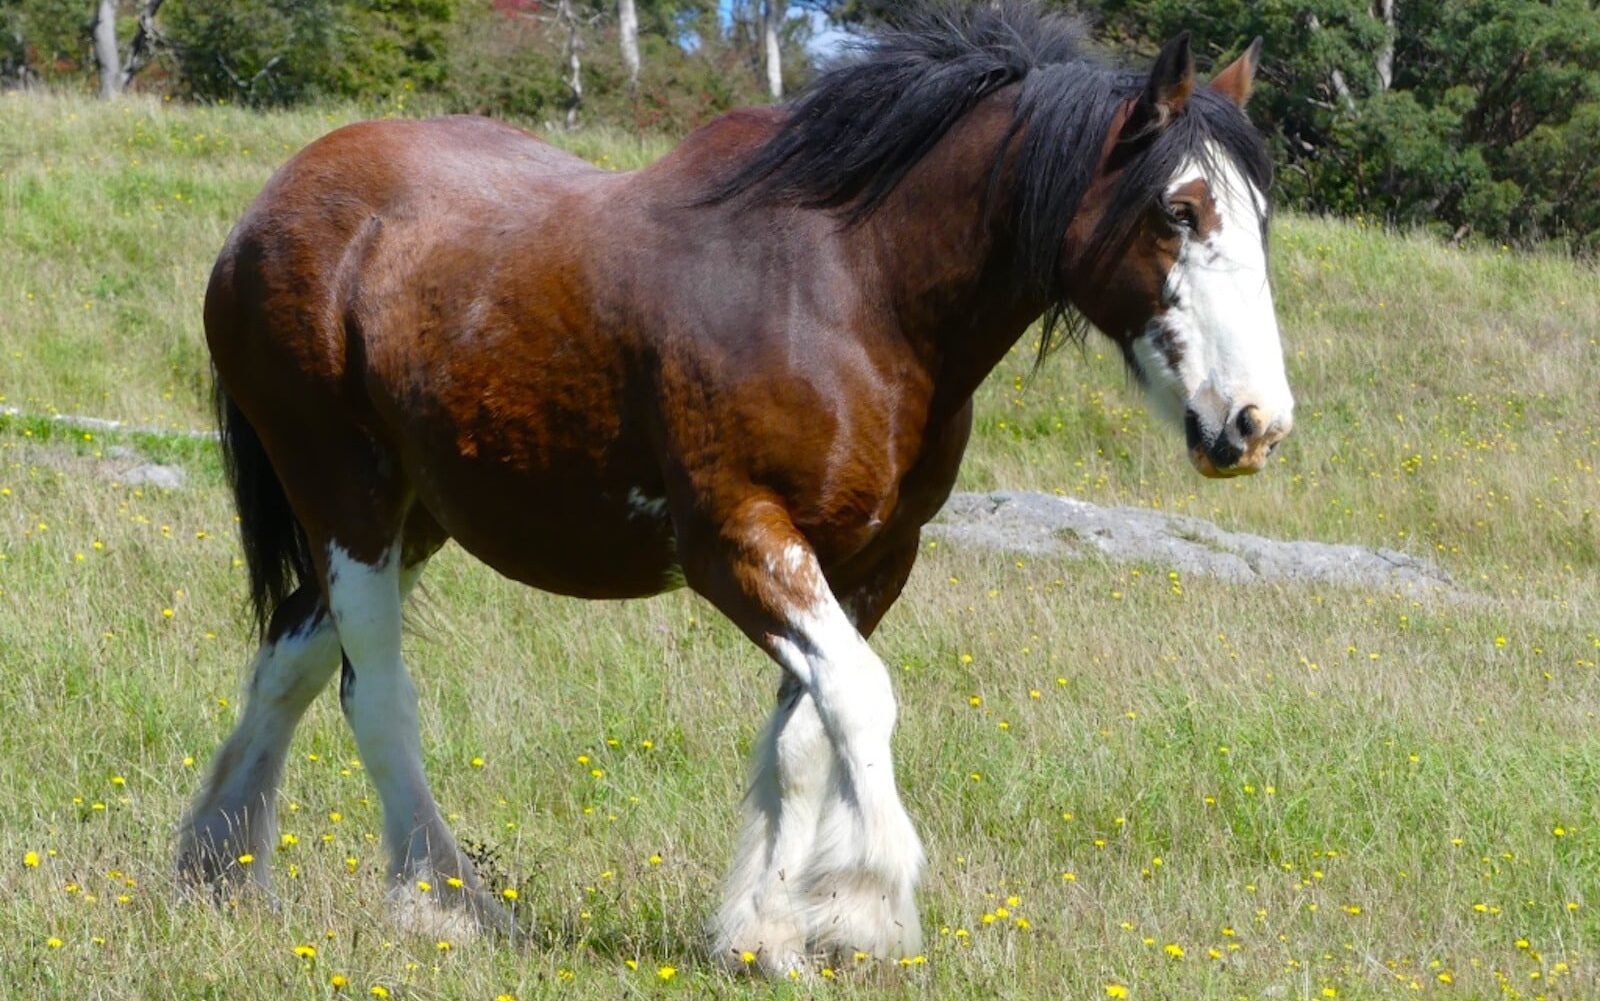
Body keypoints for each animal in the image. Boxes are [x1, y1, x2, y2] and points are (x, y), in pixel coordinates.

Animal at [181, 0, 1292, 965]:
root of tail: (265, 211)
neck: (847, 286)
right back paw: (443, 903)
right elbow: (860, 697)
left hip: (415, 515)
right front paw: (864, 908)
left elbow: (804, 731)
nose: (1255, 422)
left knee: (291, 657)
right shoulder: (735, 540)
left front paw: (767, 929)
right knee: (375, 690)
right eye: (1178, 209)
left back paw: (216, 868)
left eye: (1258, 216)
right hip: (346, 494)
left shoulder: (869, 559)